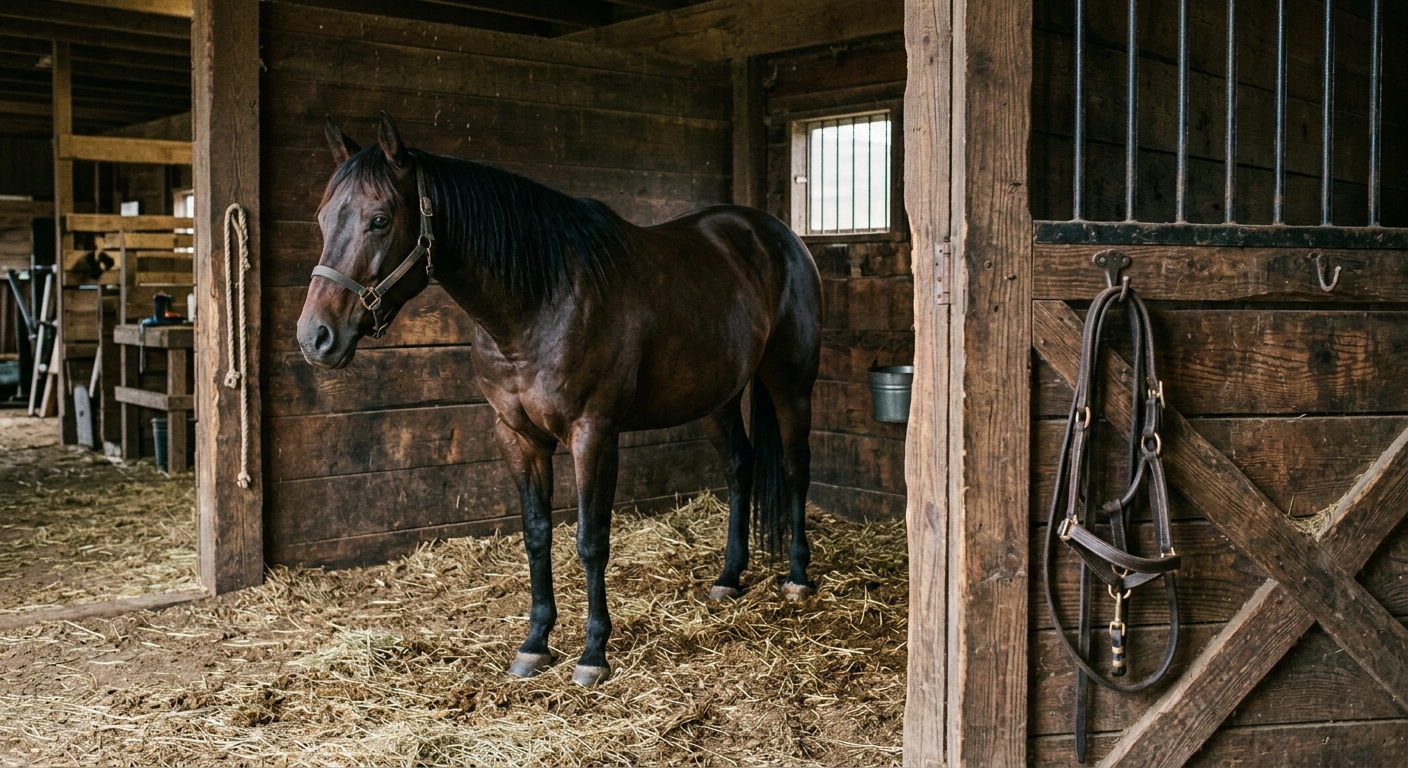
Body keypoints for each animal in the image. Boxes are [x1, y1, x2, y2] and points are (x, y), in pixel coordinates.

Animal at [297, 112, 822, 687]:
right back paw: (729, 576)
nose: (315, 337)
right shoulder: (517, 436)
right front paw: (535, 643)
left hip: (791, 382)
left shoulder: (593, 435)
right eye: (322, 218)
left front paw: (593, 653)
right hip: (715, 398)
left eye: (379, 220)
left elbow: (591, 541)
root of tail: (775, 234)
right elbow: (537, 534)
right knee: (739, 466)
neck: (539, 301)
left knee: (795, 468)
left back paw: (797, 576)